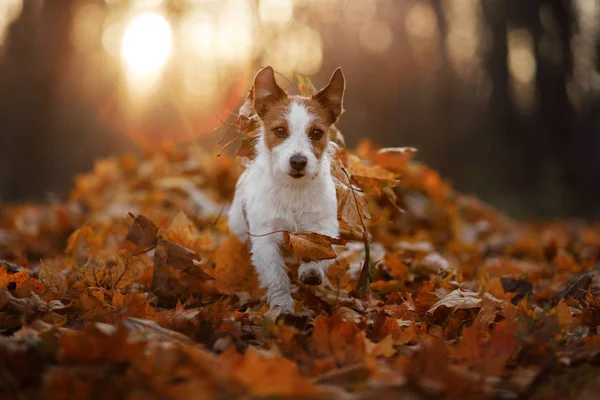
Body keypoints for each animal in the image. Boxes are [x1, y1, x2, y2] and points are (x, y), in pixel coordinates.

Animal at [227, 66, 344, 312]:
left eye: (316, 133)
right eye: (280, 131)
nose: (298, 161)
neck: (294, 189)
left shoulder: (324, 226)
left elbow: (320, 249)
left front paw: (311, 270)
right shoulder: (265, 237)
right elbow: (275, 275)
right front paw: (283, 307)